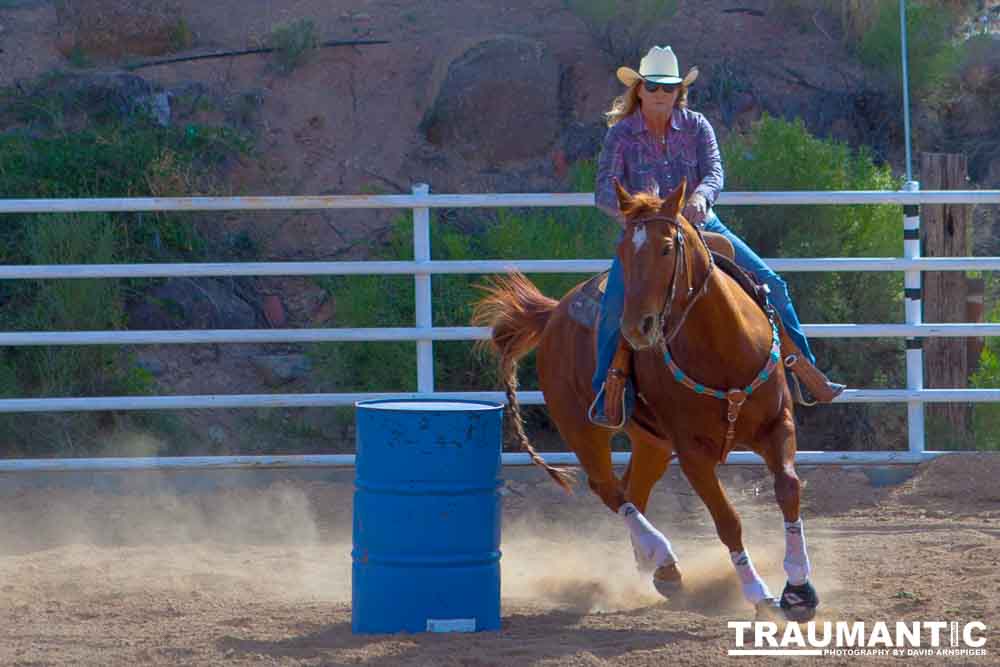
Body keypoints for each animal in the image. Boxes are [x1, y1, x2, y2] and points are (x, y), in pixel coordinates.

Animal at [474, 179, 820, 620]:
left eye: (667, 248)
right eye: (623, 250)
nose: (637, 327)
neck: (724, 350)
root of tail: (552, 315)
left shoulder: (778, 424)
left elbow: (789, 488)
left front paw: (799, 590)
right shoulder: (692, 454)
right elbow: (727, 521)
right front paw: (758, 593)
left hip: (652, 442)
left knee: (632, 490)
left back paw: (658, 566)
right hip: (582, 429)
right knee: (609, 490)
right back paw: (664, 559)